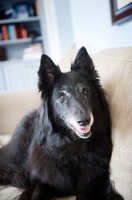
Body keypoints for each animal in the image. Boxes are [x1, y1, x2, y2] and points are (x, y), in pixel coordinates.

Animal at [0, 47, 122, 200]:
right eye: (62, 96)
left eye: (85, 91)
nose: (84, 121)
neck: (72, 147)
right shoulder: (42, 180)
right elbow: (39, 189)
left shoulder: (97, 183)